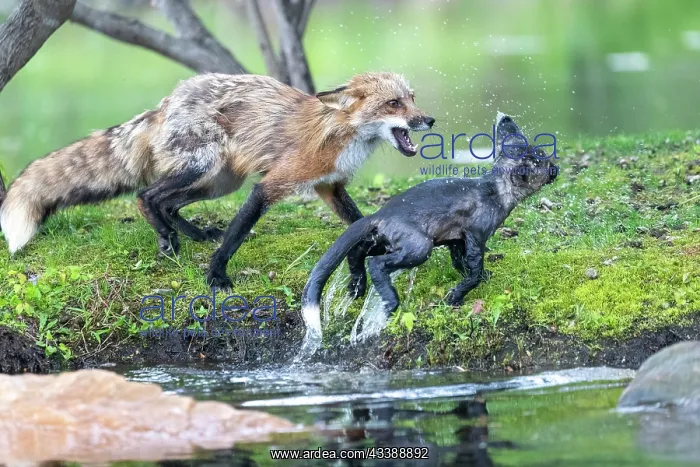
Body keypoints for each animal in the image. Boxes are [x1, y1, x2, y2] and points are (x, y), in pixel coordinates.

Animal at [0, 72, 434, 288]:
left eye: (412, 99)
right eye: (393, 104)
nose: (428, 120)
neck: (342, 135)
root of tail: (165, 102)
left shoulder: (330, 187)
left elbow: (360, 222)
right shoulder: (273, 183)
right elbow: (237, 234)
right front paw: (216, 274)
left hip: (220, 182)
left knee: (168, 202)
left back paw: (188, 235)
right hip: (203, 167)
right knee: (147, 195)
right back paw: (167, 238)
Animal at [296, 115, 558, 357]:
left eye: (542, 153)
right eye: (541, 161)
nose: (556, 168)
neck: (495, 193)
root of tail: (379, 213)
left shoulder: (456, 240)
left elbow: (461, 265)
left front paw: (482, 277)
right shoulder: (476, 235)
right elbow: (472, 272)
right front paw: (455, 297)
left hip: (386, 242)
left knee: (356, 252)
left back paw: (357, 288)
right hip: (420, 247)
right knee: (376, 264)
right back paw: (390, 301)